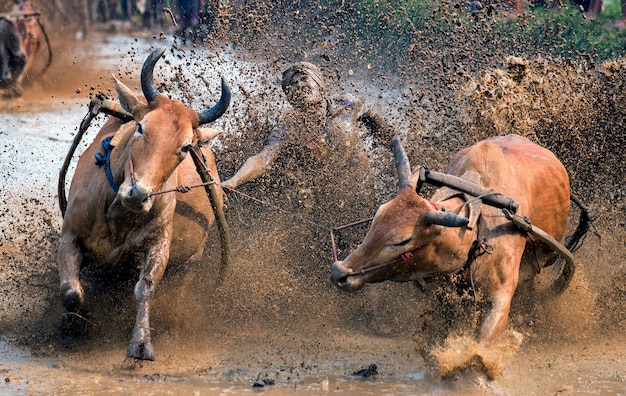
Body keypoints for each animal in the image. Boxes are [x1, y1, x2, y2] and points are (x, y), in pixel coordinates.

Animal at [58, 47, 229, 362]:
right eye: (140, 127)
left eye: (185, 147)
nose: (138, 194)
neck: (117, 214)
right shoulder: (69, 236)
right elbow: (72, 292)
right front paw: (71, 324)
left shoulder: (159, 245)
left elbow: (145, 288)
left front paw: (140, 342)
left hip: (192, 261)